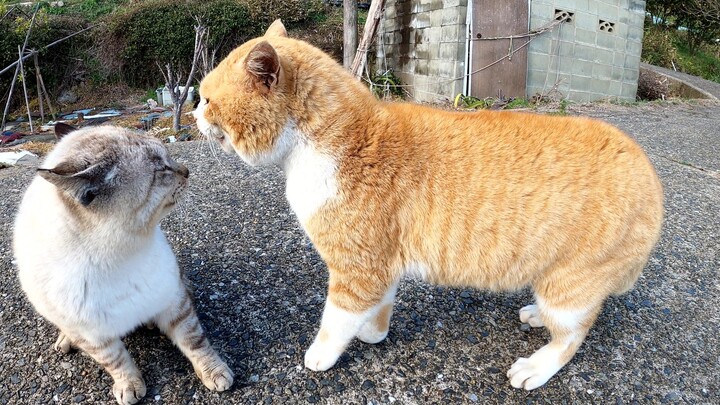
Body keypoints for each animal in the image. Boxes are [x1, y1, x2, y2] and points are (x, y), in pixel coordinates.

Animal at [195, 21, 664, 388]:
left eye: (206, 99)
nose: (192, 117)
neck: (330, 143)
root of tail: (650, 173)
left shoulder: (357, 270)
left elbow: (336, 321)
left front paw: (322, 355)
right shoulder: (381, 264)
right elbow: (379, 307)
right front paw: (373, 333)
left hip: (570, 287)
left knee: (573, 334)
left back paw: (538, 365)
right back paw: (534, 315)